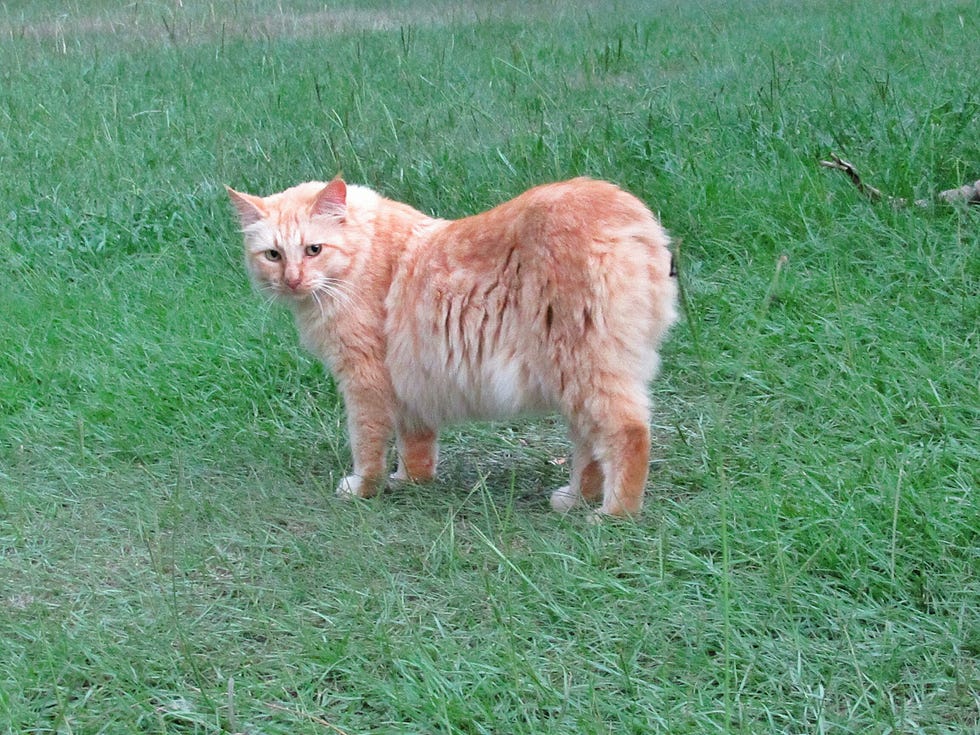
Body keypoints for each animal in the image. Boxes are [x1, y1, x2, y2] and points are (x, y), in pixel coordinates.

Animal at [226, 177, 676, 516]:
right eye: (273, 255)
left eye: (313, 250)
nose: (292, 280)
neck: (364, 252)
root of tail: (632, 215)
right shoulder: (410, 381)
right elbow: (416, 444)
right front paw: (411, 482)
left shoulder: (363, 380)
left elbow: (366, 445)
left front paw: (363, 488)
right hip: (575, 378)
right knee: (591, 446)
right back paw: (575, 500)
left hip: (582, 368)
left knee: (629, 432)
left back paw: (614, 514)